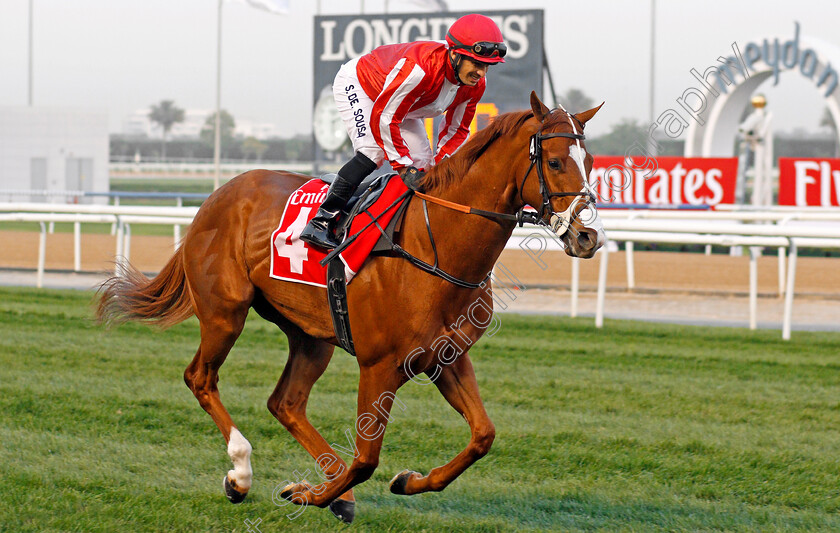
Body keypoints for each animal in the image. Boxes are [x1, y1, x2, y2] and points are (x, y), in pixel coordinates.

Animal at [97, 91, 604, 520]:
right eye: (555, 161)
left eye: (591, 162)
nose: (587, 236)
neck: (434, 244)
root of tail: (217, 195)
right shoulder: (379, 365)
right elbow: (366, 458)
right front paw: (308, 494)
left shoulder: (446, 357)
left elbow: (482, 436)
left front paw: (406, 481)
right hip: (225, 313)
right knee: (200, 378)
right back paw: (242, 473)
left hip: (311, 335)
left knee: (285, 402)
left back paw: (331, 488)